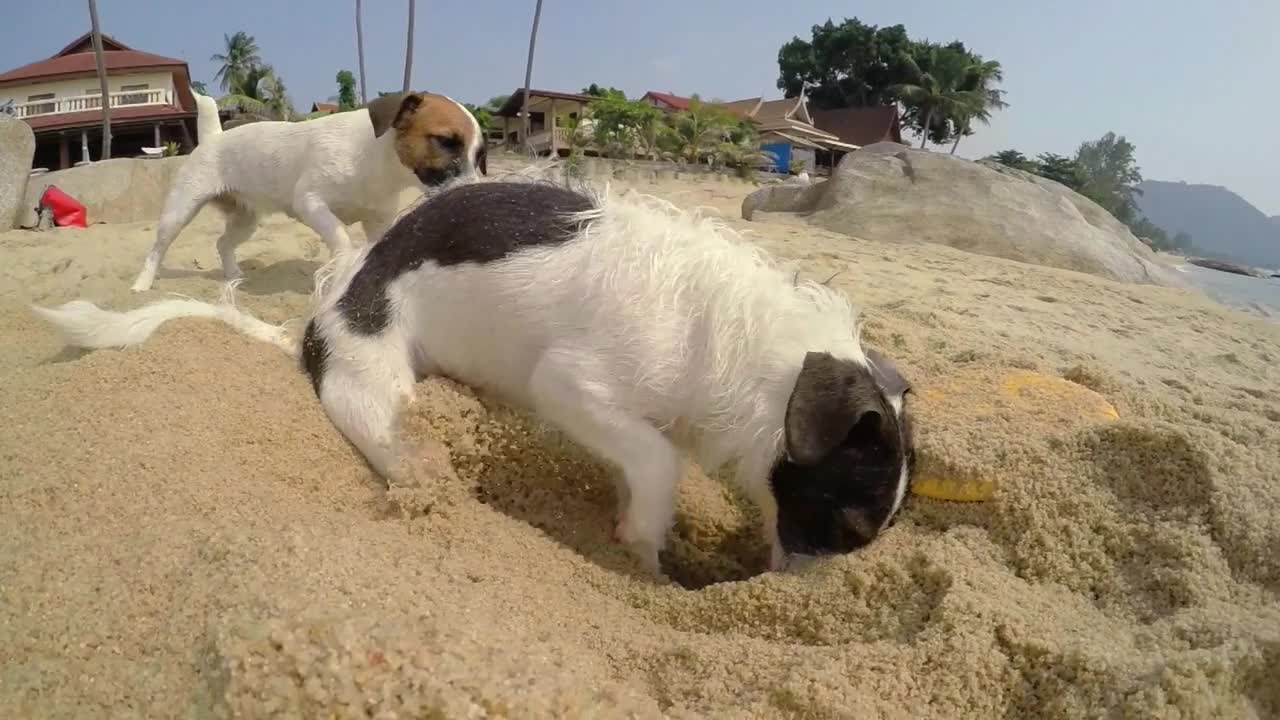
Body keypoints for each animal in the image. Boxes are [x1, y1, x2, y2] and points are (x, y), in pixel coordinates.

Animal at [35, 175, 916, 576]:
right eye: (848, 529)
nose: (778, 595)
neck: (757, 358)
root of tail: (312, 327)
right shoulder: (571, 384)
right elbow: (658, 463)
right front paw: (645, 545)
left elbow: (641, 470)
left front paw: (637, 535)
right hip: (377, 399)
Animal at [128, 89, 488, 292]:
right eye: (446, 141)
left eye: (480, 156)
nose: (473, 196)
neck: (376, 161)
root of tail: (214, 136)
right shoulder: (310, 203)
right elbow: (341, 237)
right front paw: (341, 264)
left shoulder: (378, 222)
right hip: (180, 210)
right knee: (157, 249)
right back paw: (142, 284)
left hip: (246, 220)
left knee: (222, 243)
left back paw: (232, 276)